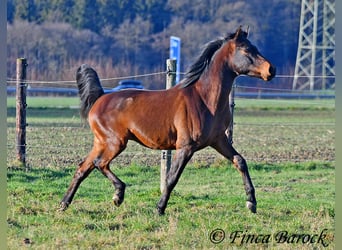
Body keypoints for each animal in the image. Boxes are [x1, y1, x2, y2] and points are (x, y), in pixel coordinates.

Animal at [60, 26, 276, 215]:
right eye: (246, 49)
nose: (271, 69)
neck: (204, 99)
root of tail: (101, 97)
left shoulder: (219, 140)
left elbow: (240, 161)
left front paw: (251, 203)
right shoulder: (185, 147)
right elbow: (172, 178)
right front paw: (159, 209)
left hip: (101, 142)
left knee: (83, 168)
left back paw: (64, 204)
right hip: (115, 142)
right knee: (100, 163)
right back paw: (118, 195)